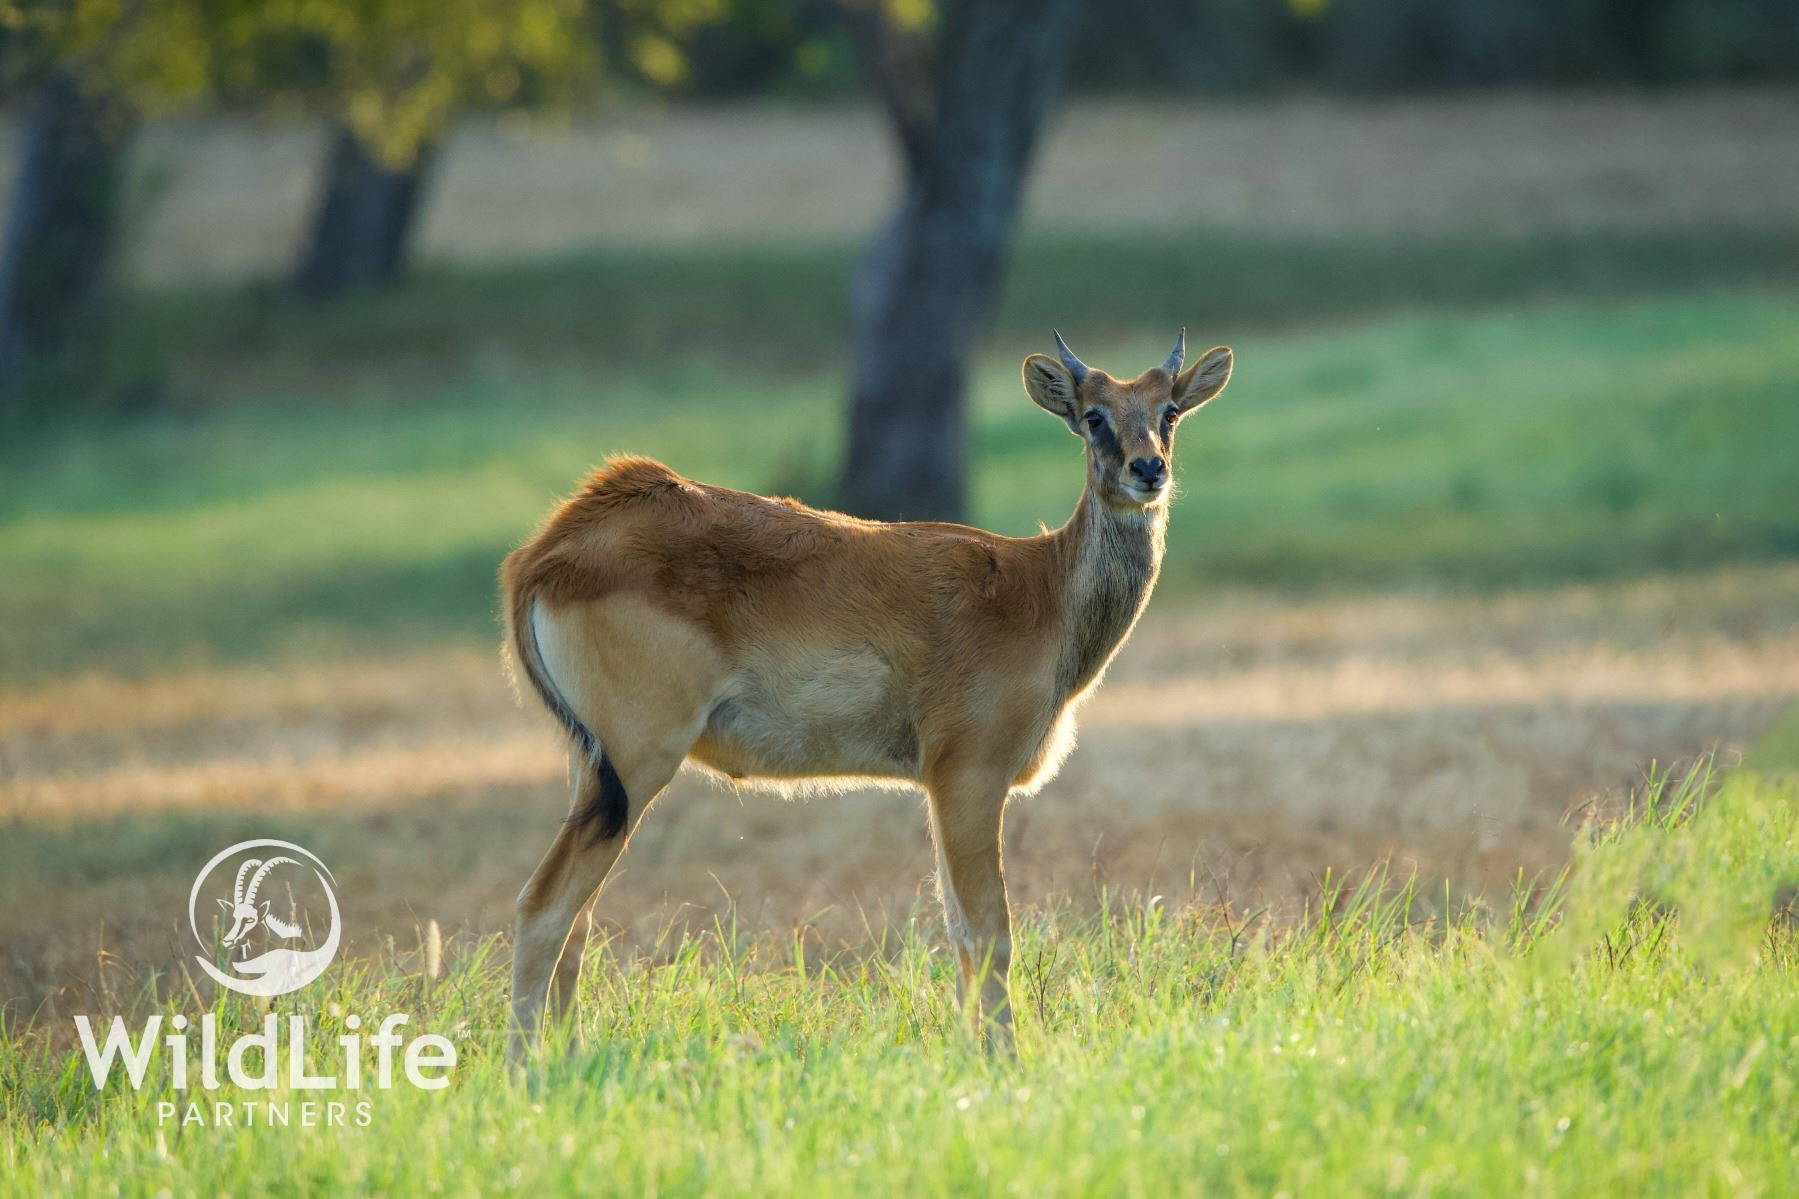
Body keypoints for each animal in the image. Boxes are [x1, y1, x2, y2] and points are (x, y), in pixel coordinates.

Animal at [502, 331, 1234, 1060]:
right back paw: (526, 1069)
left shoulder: (940, 786)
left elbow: (959, 932)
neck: (1041, 591)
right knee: (543, 906)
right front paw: (1005, 1057)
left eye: (1168, 411)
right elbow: (989, 932)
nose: (1148, 469)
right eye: (1093, 415)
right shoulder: (969, 774)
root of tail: (551, 548)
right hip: (637, 761)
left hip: (594, 774)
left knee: (575, 920)